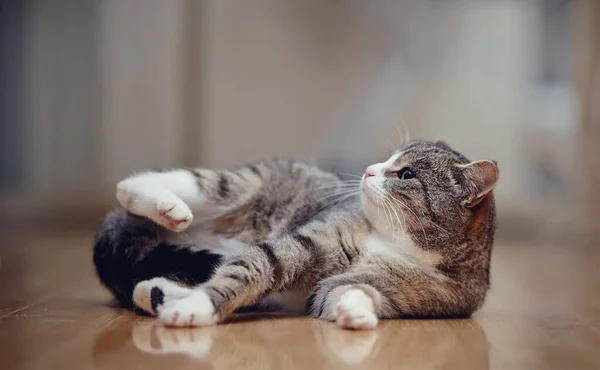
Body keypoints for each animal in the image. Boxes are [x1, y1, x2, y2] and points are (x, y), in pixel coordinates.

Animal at [94, 139, 496, 330]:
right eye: (388, 160)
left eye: (408, 174)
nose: (369, 169)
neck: (397, 244)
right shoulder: (305, 243)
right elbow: (253, 267)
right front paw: (199, 307)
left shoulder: (402, 291)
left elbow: (351, 291)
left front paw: (355, 312)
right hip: (253, 183)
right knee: (200, 185)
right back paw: (157, 201)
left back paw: (158, 293)